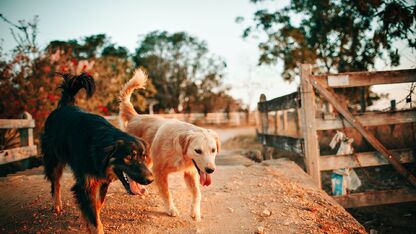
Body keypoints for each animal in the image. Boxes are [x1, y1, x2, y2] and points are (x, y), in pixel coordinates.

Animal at [41, 72, 154, 233]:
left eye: (143, 157)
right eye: (129, 157)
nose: (151, 180)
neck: (99, 147)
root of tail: (65, 106)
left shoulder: (103, 181)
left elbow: (96, 208)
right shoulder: (84, 186)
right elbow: (94, 218)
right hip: (54, 159)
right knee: (55, 183)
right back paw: (56, 204)